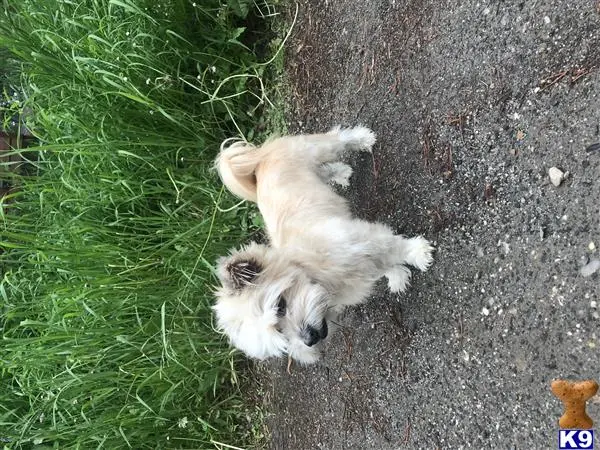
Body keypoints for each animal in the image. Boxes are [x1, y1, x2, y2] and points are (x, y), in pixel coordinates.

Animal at [213, 125, 434, 364]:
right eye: (281, 333)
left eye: (280, 306)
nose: (309, 339)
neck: (315, 273)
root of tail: (259, 167)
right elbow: (382, 265)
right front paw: (397, 275)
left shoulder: (365, 239)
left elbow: (395, 248)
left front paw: (417, 254)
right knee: (325, 172)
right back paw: (341, 172)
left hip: (316, 149)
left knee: (338, 137)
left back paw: (362, 138)